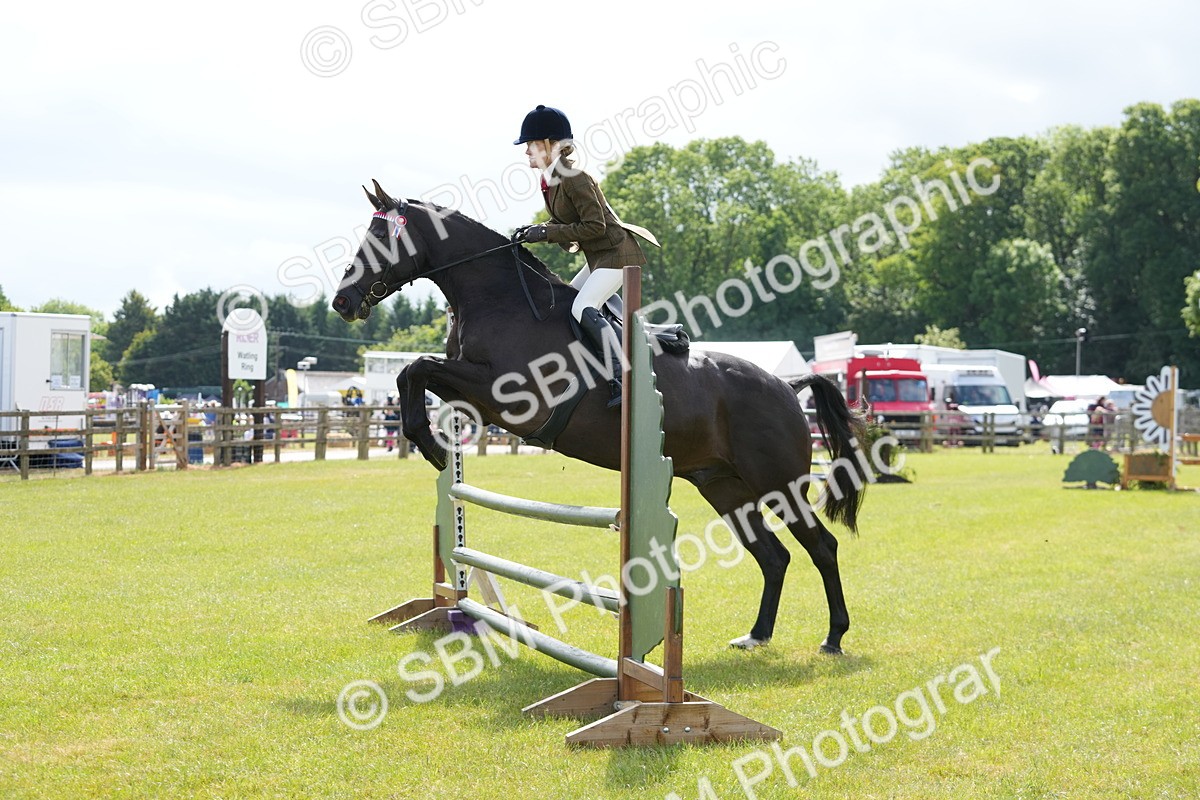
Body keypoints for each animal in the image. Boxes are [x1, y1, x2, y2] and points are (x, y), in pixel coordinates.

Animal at [332, 181, 871, 654]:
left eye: (380, 239)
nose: (342, 301)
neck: (499, 300)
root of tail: (787, 387)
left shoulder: (507, 397)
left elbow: (417, 367)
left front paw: (426, 441)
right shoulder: (475, 395)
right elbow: (414, 372)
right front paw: (430, 442)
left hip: (778, 482)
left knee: (821, 547)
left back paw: (834, 637)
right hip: (724, 487)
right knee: (774, 556)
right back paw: (756, 636)